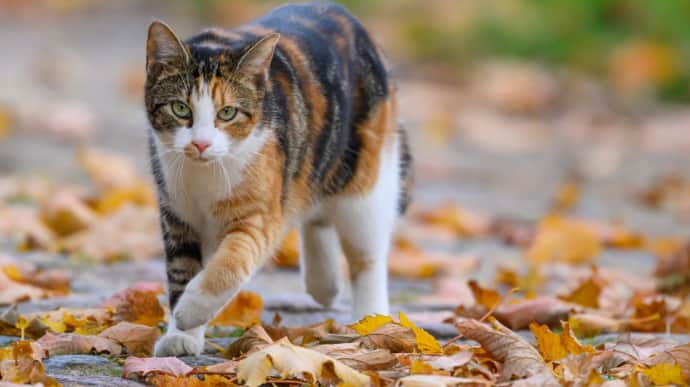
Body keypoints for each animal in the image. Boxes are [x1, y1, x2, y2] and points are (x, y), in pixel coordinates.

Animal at [144, 2, 412, 358]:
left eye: (227, 113)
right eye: (180, 109)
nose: (200, 144)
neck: (204, 175)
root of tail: (345, 16)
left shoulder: (260, 214)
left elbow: (228, 265)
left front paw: (189, 311)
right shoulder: (177, 214)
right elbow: (182, 269)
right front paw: (181, 334)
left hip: (364, 182)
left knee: (367, 253)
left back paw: (372, 318)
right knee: (314, 211)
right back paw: (324, 283)